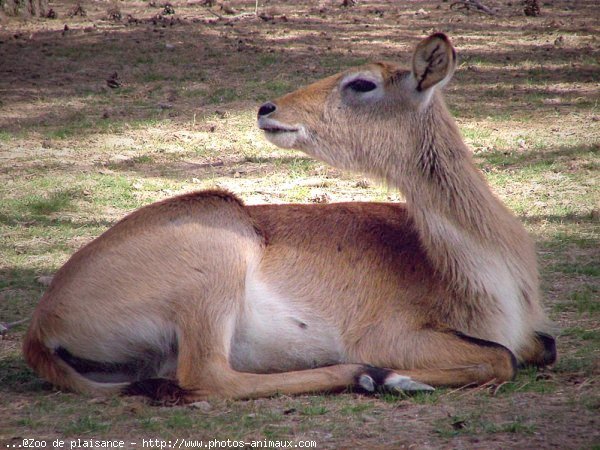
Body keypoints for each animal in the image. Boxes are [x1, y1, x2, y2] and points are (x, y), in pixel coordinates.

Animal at [24, 33, 556, 402]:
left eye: (361, 82)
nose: (267, 108)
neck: (483, 276)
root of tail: (40, 324)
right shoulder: (391, 333)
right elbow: (502, 357)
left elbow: (540, 346)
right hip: (216, 264)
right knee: (206, 378)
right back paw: (374, 376)